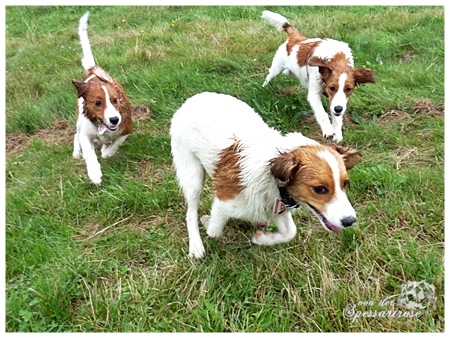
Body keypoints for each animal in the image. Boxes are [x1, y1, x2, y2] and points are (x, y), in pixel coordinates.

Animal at [71, 12, 132, 185]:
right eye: (97, 103)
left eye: (115, 100)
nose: (114, 120)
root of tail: (92, 71)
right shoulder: (86, 134)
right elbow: (89, 153)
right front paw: (94, 174)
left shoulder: (126, 129)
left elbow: (111, 147)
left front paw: (106, 149)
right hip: (79, 121)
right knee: (76, 135)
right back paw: (76, 152)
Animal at [170, 92, 362, 258]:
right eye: (320, 189)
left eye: (345, 184)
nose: (350, 221)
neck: (271, 175)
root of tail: (194, 99)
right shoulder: (223, 202)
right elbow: (214, 231)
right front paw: (207, 221)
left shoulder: (278, 207)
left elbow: (290, 232)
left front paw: (263, 238)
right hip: (192, 176)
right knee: (190, 213)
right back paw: (196, 245)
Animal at [262, 10, 374, 142]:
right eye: (332, 88)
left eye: (348, 89)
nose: (338, 109)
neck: (337, 59)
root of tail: (296, 37)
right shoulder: (314, 94)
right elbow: (322, 113)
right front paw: (328, 130)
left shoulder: (337, 101)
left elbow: (336, 117)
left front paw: (337, 134)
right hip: (277, 68)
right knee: (269, 76)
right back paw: (264, 88)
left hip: (291, 72)